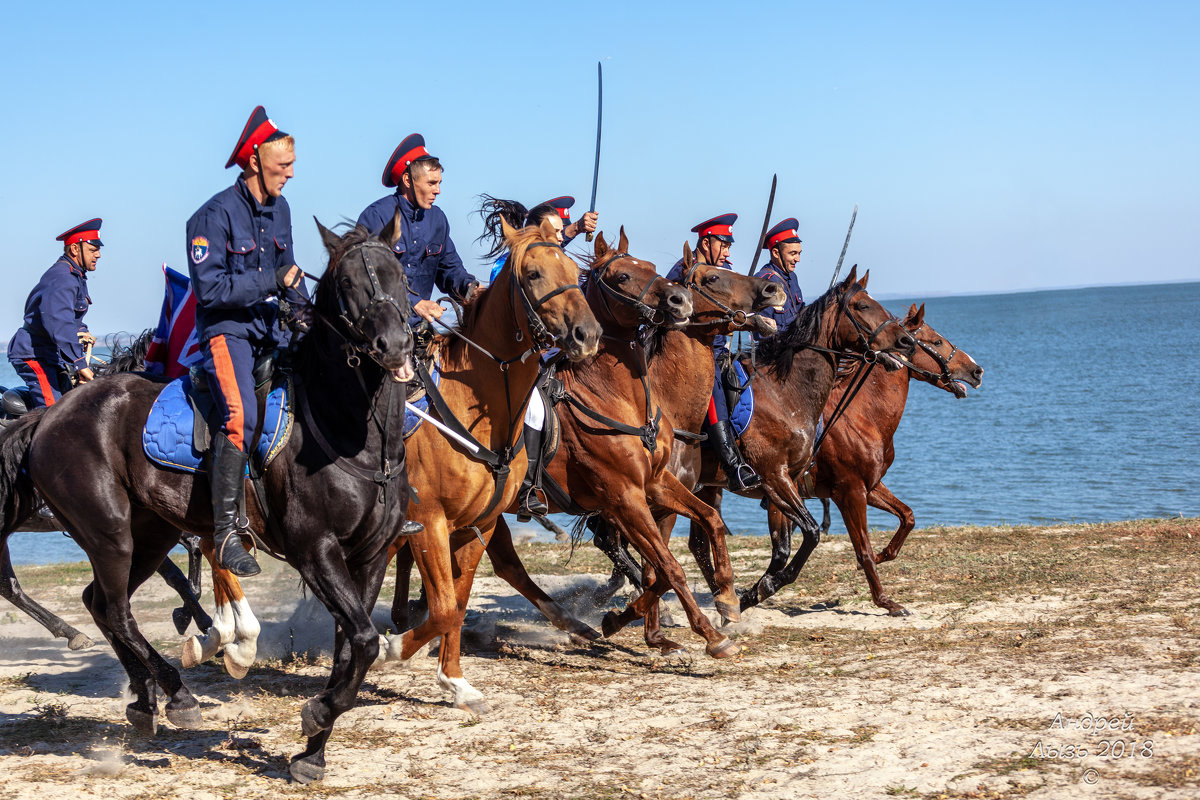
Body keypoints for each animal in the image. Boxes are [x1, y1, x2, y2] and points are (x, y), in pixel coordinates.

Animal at [0, 215, 417, 786]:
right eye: (347, 282)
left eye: (399, 273)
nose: (394, 344)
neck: (349, 433)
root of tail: (49, 415)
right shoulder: (316, 551)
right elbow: (364, 640)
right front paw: (316, 714)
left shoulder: (370, 557)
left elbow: (352, 647)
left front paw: (312, 754)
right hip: (110, 535)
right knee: (114, 609)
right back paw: (174, 695)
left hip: (150, 537)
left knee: (101, 604)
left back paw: (148, 700)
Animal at [758, 303, 984, 618]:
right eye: (937, 341)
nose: (977, 370)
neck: (861, 416)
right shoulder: (849, 493)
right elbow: (862, 548)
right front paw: (885, 601)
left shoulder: (871, 486)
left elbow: (907, 516)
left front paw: (883, 555)